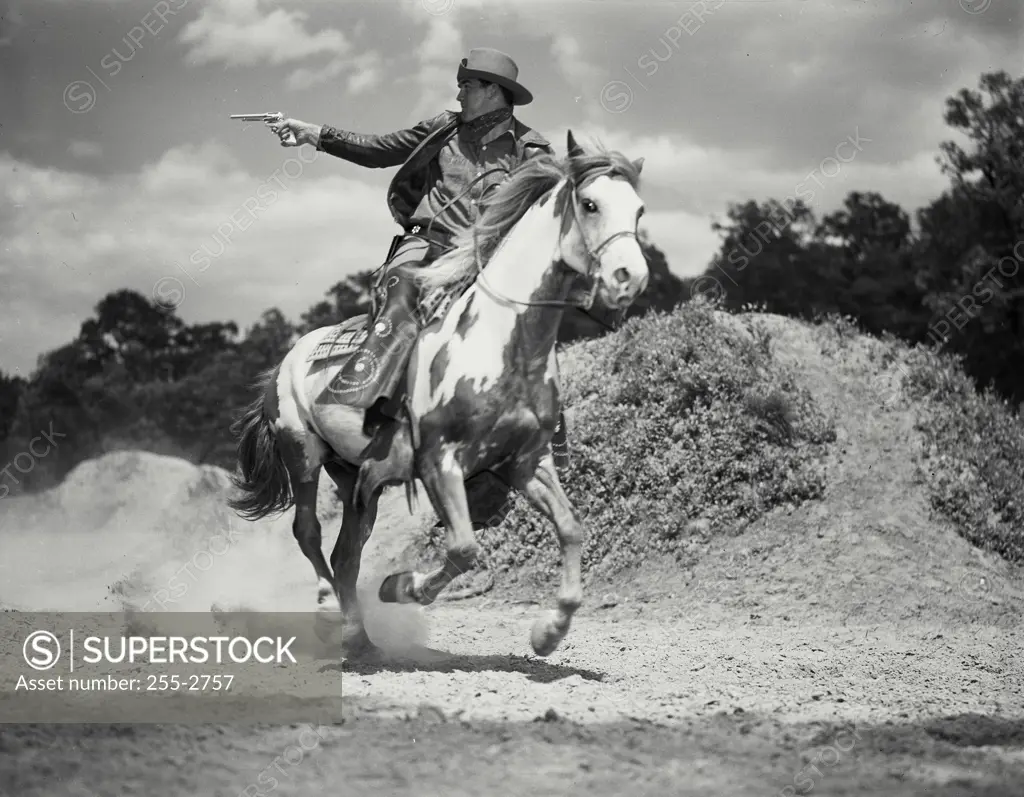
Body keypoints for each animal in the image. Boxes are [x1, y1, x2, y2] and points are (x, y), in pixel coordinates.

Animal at [231, 130, 647, 659]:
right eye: (590, 204)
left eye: (639, 211)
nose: (630, 278)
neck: (500, 338)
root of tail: (286, 361)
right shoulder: (438, 461)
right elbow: (464, 548)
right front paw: (401, 586)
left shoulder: (523, 463)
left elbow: (571, 528)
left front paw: (549, 632)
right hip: (301, 452)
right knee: (308, 532)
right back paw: (329, 613)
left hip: (356, 477)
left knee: (347, 554)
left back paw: (359, 638)